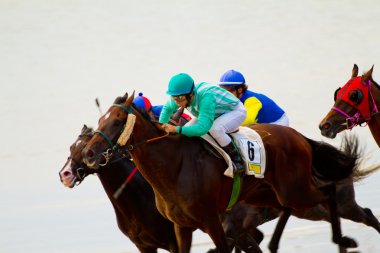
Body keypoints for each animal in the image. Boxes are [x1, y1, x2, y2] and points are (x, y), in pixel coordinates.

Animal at [81, 92, 360, 253]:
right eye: (100, 121)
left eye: (117, 122)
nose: (88, 153)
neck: (173, 167)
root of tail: (298, 137)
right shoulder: (181, 227)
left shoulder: (211, 221)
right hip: (268, 194)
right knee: (291, 205)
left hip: (295, 190)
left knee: (328, 191)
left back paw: (342, 240)